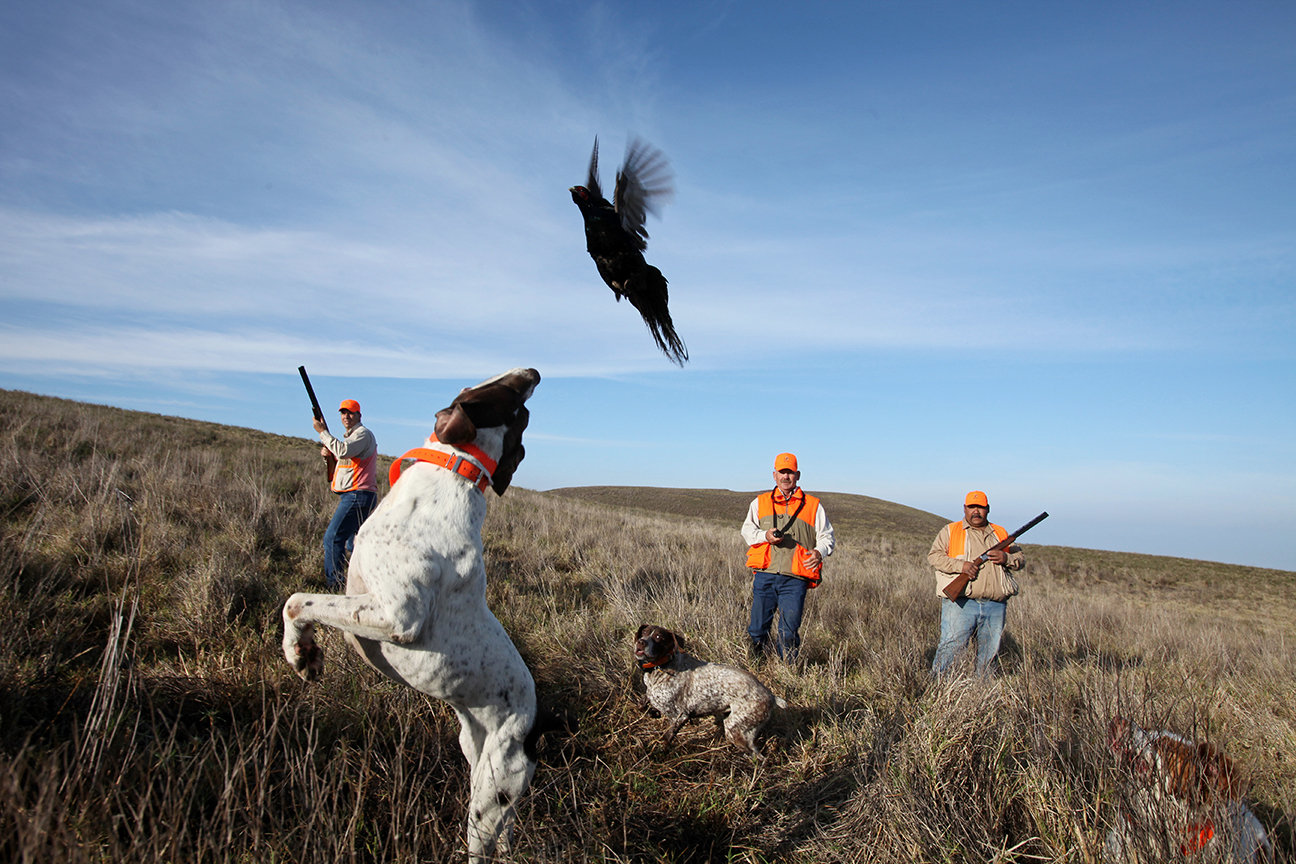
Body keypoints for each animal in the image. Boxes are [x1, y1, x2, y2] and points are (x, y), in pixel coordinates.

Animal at [283, 367, 541, 860]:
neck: (456, 469)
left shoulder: (399, 616)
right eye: (512, 396)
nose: (534, 372)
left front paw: (302, 653)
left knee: (481, 843)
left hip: (491, 793)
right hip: (477, 758)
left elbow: (297, 601)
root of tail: (535, 728)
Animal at [632, 621, 782, 756]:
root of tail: (771, 696)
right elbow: (641, 704)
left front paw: (661, 752)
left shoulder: (679, 716)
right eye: (644, 632)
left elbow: (666, 738)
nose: (641, 642)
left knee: (759, 757)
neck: (663, 666)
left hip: (735, 729)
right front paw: (653, 712)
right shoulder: (650, 694)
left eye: (659, 637)